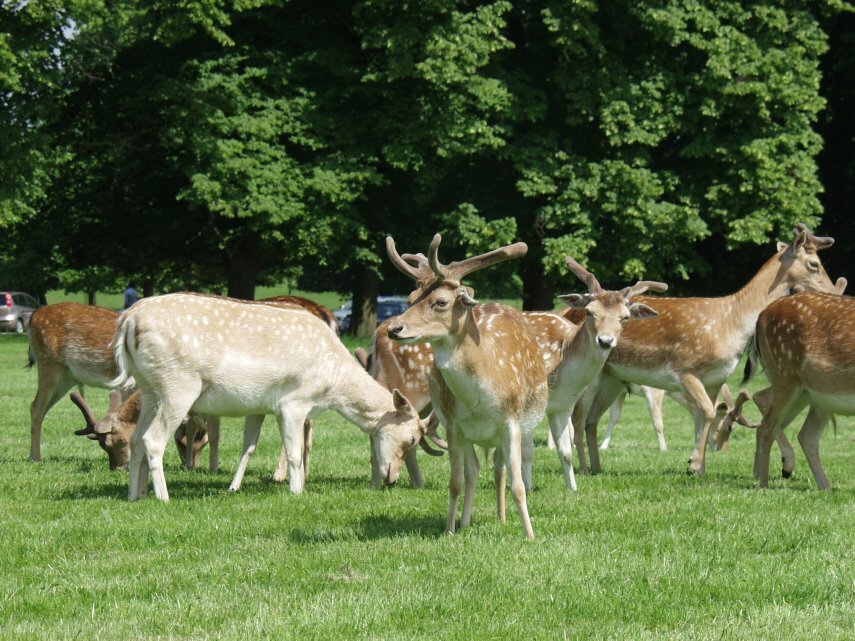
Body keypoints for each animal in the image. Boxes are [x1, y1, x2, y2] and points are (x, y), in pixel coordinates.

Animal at [109, 292, 430, 501]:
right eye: (412, 438)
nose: (391, 479)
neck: (332, 386)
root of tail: (128, 319)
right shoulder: (294, 401)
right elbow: (294, 450)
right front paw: (297, 491)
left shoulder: (259, 405)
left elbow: (249, 446)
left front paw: (233, 487)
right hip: (178, 386)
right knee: (152, 439)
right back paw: (163, 497)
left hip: (150, 390)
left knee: (136, 438)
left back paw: (134, 494)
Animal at [386, 234, 547, 539]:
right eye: (410, 298)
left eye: (440, 301)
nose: (394, 329)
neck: (480, 397)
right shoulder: (453, 424)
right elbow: (456, 481)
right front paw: (449, 530)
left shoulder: (511, 421)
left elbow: (519, 484)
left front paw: (530, 535)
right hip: (471, 434)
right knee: (475, 472)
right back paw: (465, 522)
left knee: (499, 470)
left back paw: (501, 518)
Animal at [572, 224, 838, 477]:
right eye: (814, 264)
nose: (833, 291)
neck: (730, 324)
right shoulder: (685, 369)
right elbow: (709, 413)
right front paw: (693, 464)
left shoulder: (715, 379)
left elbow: (701, 418)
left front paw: (698, 471)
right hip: (589, 374)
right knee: (577, 417)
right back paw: (582, 468)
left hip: (612, 378)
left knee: (591, 420)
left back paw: (597, 467)